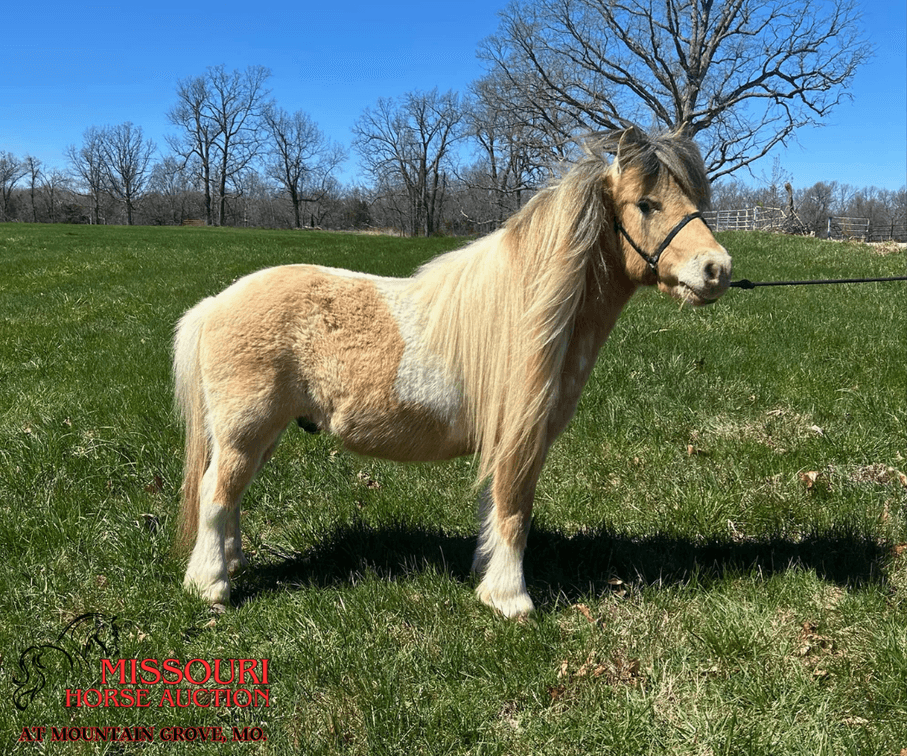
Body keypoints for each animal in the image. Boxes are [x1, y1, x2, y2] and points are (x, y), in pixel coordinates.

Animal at [173, 126, 732, 618]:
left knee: (229, 494)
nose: (718, 269)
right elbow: (513, 509)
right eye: (646, 203)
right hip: (246, 431)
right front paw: (510, 598)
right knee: (215, 493)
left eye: (694, 198)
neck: (526, 312)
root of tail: (216, 304)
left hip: (260, 435)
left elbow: (493, 508)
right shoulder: (520, 439)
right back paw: (211, 586)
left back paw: (231, 563)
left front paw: (485, 575)